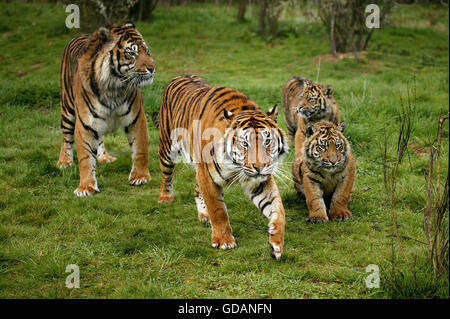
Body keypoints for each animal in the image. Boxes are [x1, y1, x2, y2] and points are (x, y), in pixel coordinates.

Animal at [57, 22, 156, 196]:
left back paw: (104, 158)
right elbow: (85, 158)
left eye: (147, 51)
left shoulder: (136, 117)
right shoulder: (85, 124)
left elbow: (140, 149)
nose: (152, 68)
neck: (114, 87)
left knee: (100, 138)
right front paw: (86, 187)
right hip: (68, 109)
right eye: (132, 53)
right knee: (66, 137)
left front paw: (140, 177)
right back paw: (64, 161)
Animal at [153, 76, 290, 262]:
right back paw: (165, 198)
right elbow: (218, 210)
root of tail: (178, 77)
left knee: (196, 189)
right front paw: (224, 241)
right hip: (167, 147)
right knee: (166, 175)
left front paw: (276, 242)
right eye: (244, 143)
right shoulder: (207, 176)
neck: (236, 166)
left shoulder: (258, 180)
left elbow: (278, 208)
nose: (260, 167)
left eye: (267, 141)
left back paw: (204, 215)